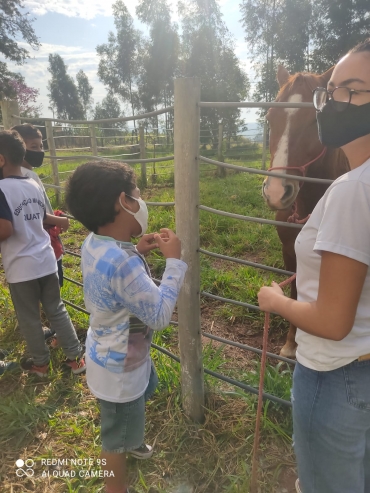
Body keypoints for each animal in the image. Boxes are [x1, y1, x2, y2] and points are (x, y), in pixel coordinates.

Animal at [264, 65, 350, 358]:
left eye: (315, 120)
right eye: (270, 117)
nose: (276, 192)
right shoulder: (289, 252)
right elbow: (295, 293)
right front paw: (291, 344)